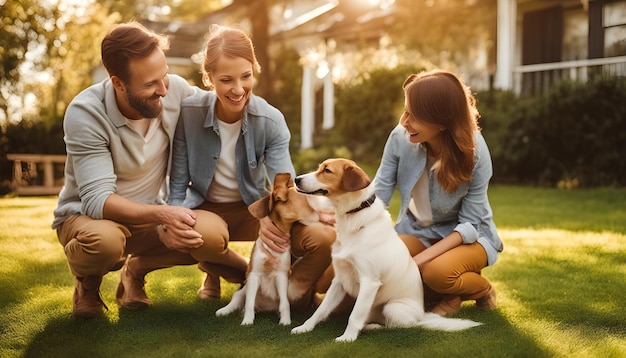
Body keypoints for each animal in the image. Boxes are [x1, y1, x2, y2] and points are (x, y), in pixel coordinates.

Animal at [216, 172, 322, 326]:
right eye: (306, 201)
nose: (320, 215)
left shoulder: (281, 276)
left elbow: (284, 303)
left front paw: (285, 321)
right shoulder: (254, 275)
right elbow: (249, 302)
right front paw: (247, 321)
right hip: (244, 288)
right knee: (238, 297)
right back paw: (225, 310)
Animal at [290, 159, 480, 342]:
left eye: (327, 170)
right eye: (320, 168)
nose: (296, 179)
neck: (352, 218)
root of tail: (421, 316)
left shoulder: (369, 281)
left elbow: (354, 315)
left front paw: (347, 338)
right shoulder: (340, 279)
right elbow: (321, 309)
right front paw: (305, 327)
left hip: (393, 308)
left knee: (396, 326)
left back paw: (372, 327)